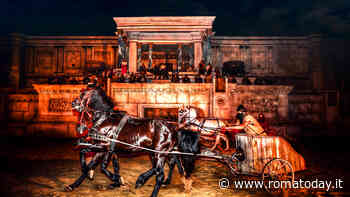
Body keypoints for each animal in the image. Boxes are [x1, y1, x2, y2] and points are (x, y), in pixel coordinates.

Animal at [66, 87, 198, 197]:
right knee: (166, 165)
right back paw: (143, 180)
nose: (73, 103)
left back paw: (151, 189)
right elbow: (92, 163)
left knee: (160, 174)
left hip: (159, 153)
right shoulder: (103, 149)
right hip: (157, 152)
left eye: (82, 94)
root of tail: (173, 127)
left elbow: (99, 164)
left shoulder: (104, 146)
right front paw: (73, 185)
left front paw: (117, 180)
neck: (105, 119)